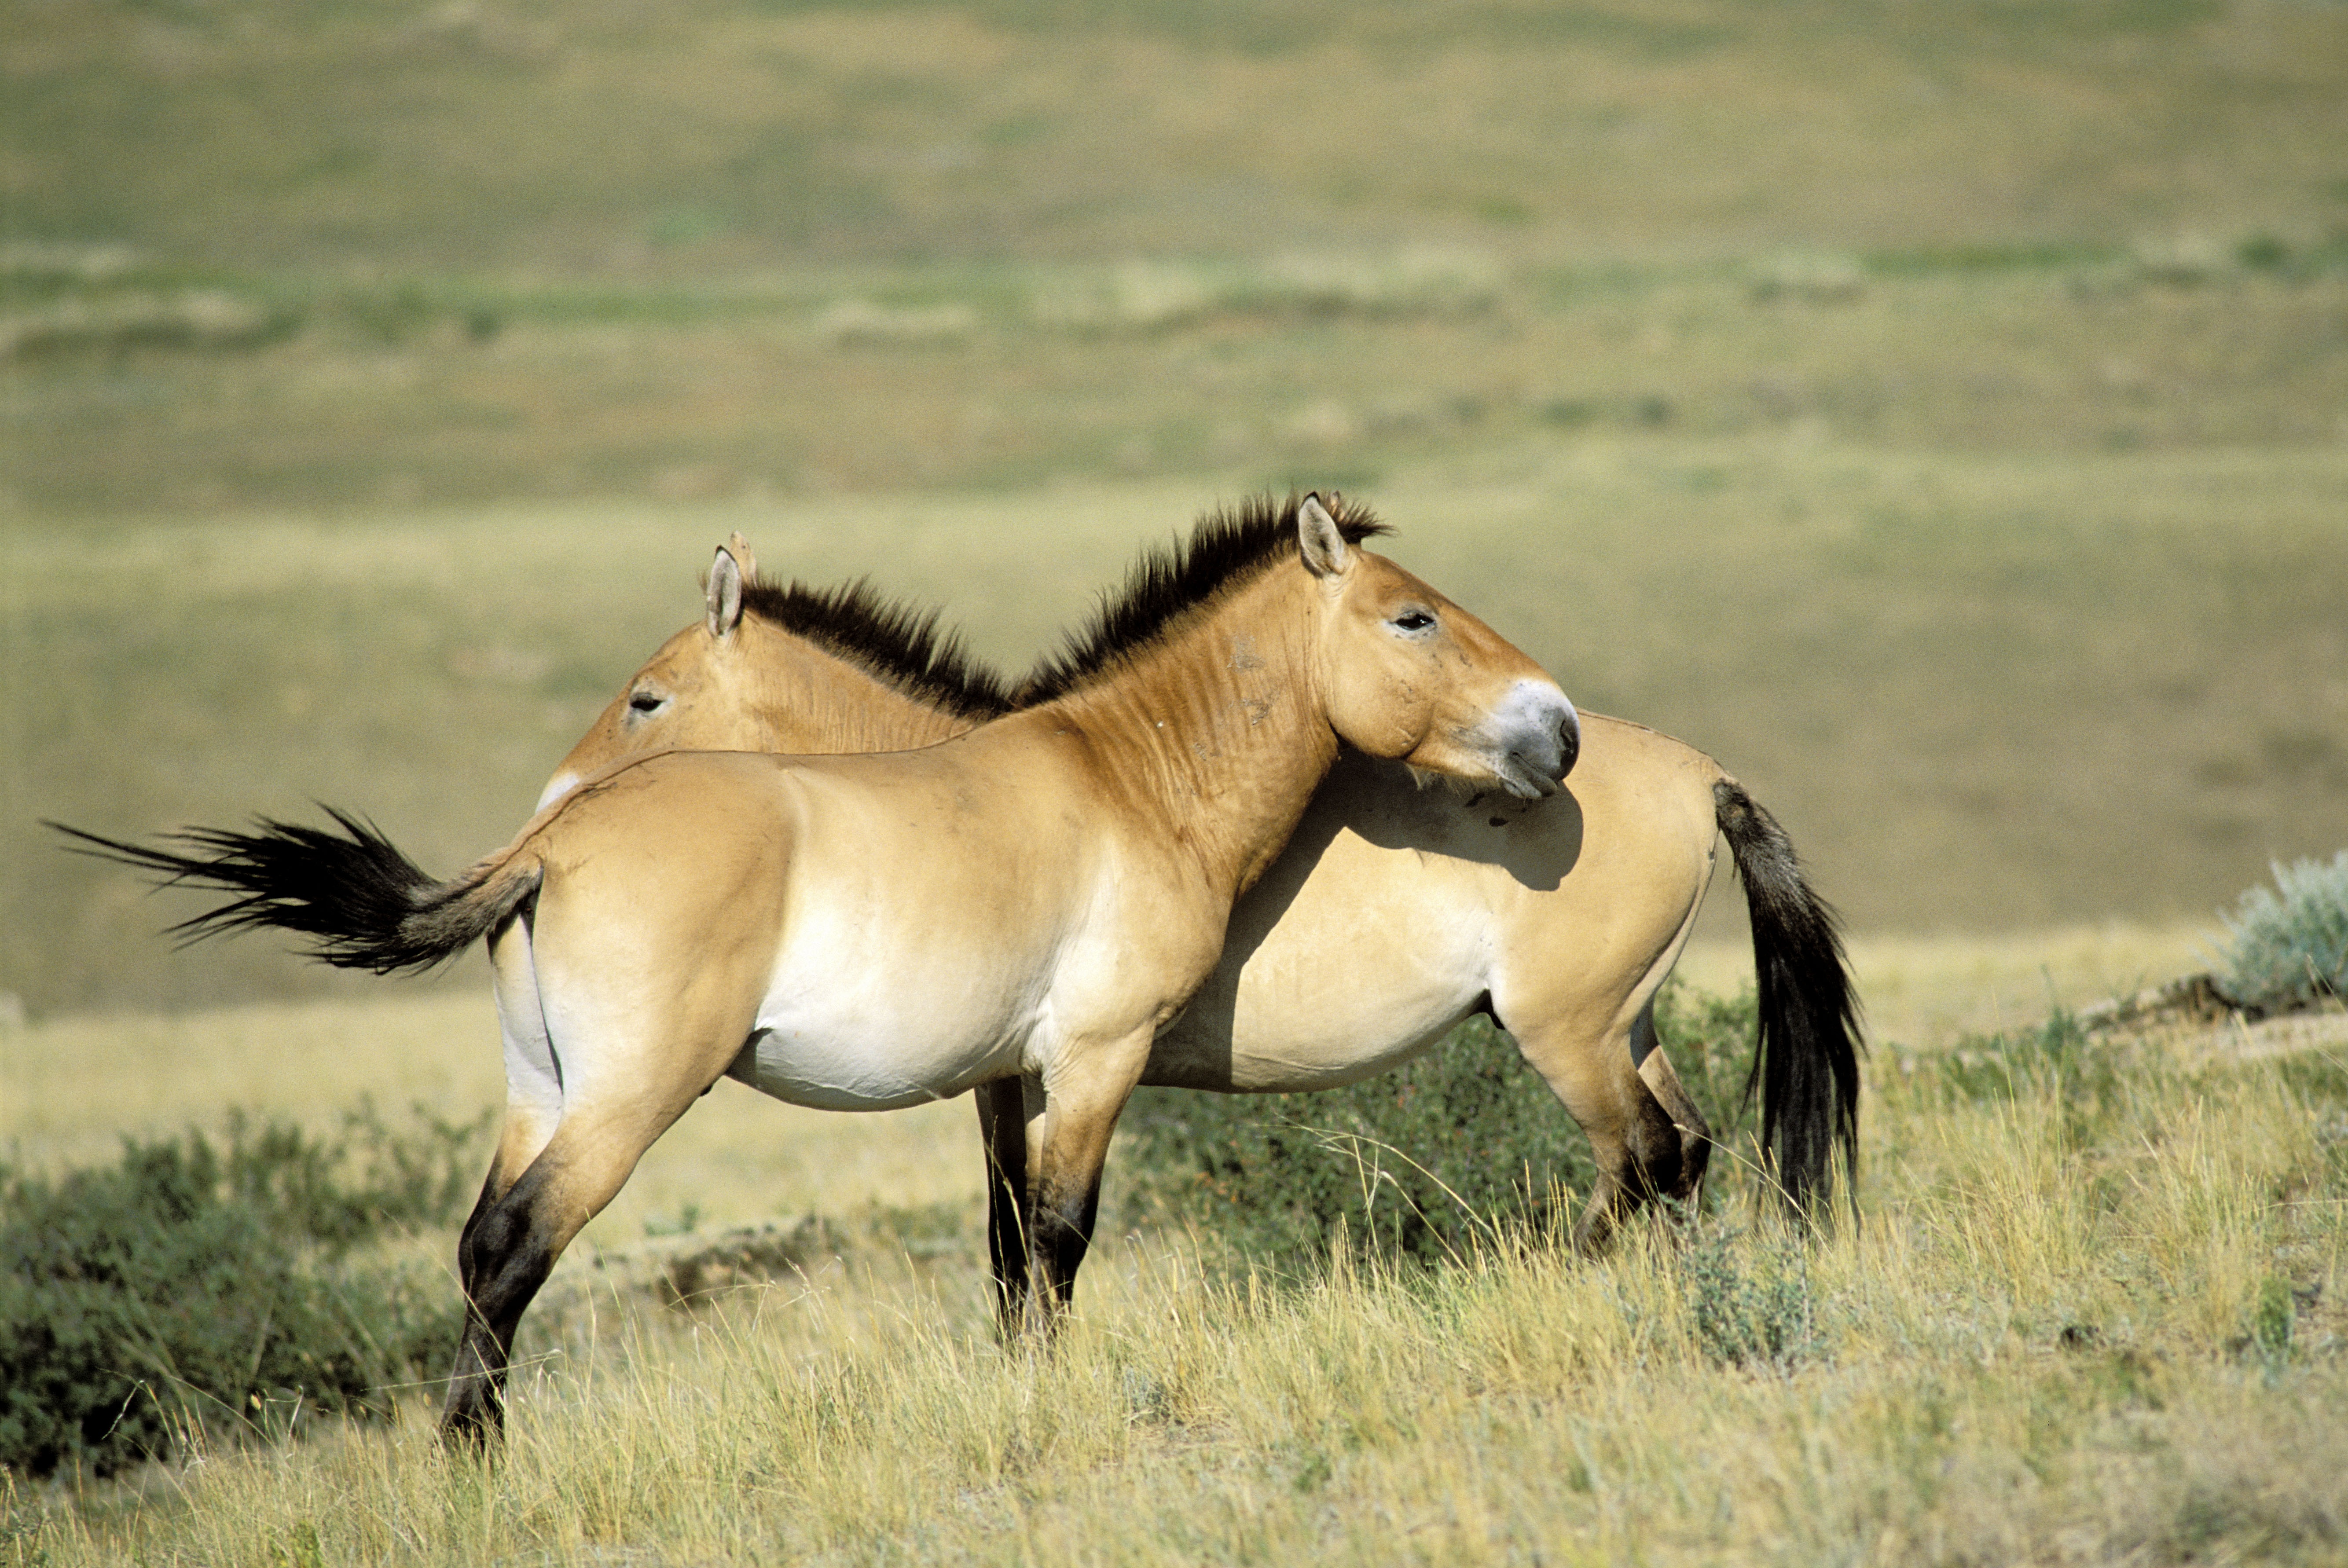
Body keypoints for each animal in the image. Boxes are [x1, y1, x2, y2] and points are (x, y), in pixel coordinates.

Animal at [58, 495, 1580, 1442]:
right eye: (1415, 620)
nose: (1555, 728)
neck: (1122, 778)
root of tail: (552, 847)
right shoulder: (1090, 1063)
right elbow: (1061, 1240)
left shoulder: (1005, 1083)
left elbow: (1008, 1252)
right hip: (624, 1104)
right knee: (515, 1247)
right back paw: (474, 1465)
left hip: (538, 1093)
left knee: (479, 1241)